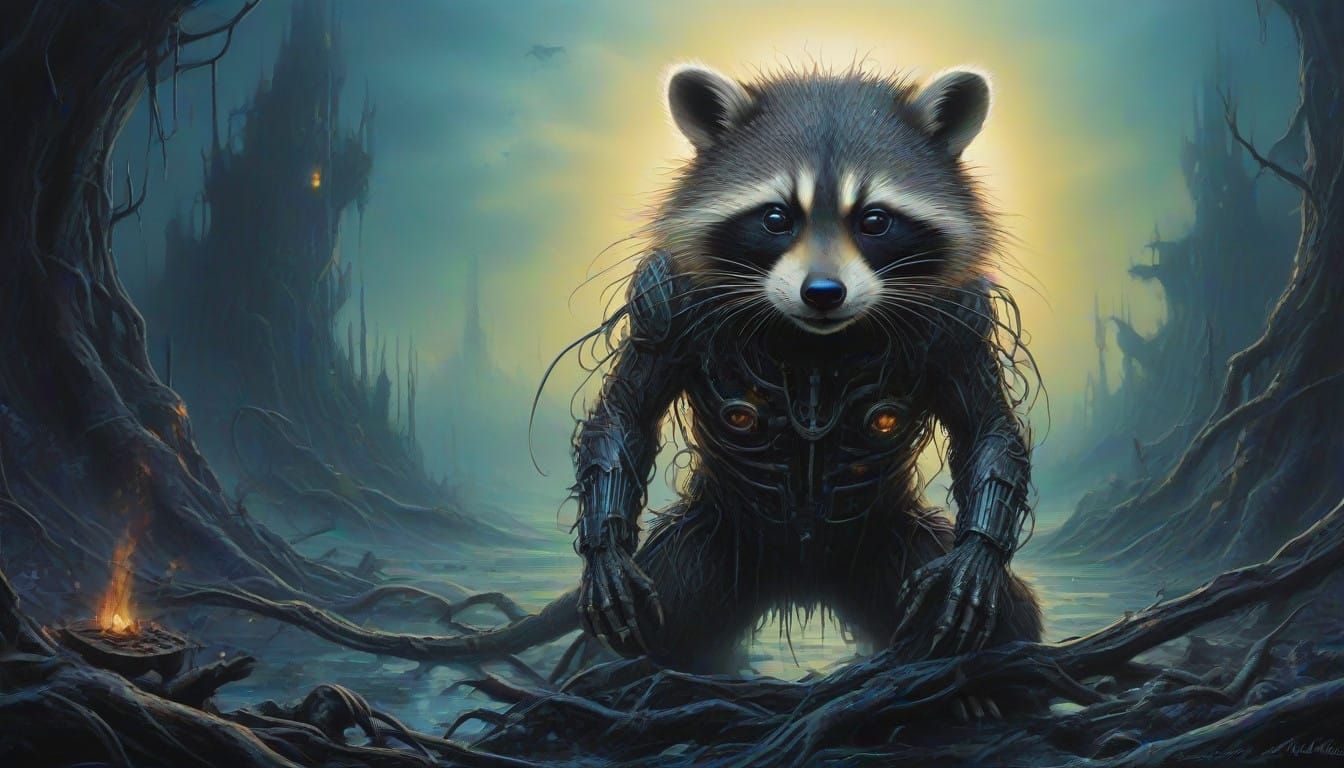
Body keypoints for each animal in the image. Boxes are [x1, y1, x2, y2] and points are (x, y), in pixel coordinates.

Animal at [570, 63, 1042, 674]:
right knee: (643, 626)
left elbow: (988, 429)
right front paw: (604, 547)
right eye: (776, 218)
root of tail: (802, 585)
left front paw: (978, 553)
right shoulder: (667, 297)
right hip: (712, 550)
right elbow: (625, 415)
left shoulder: (959, 312)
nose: (822, 292)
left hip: (889, 547)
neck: (817, 342)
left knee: (1009, 622)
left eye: (874, 220)